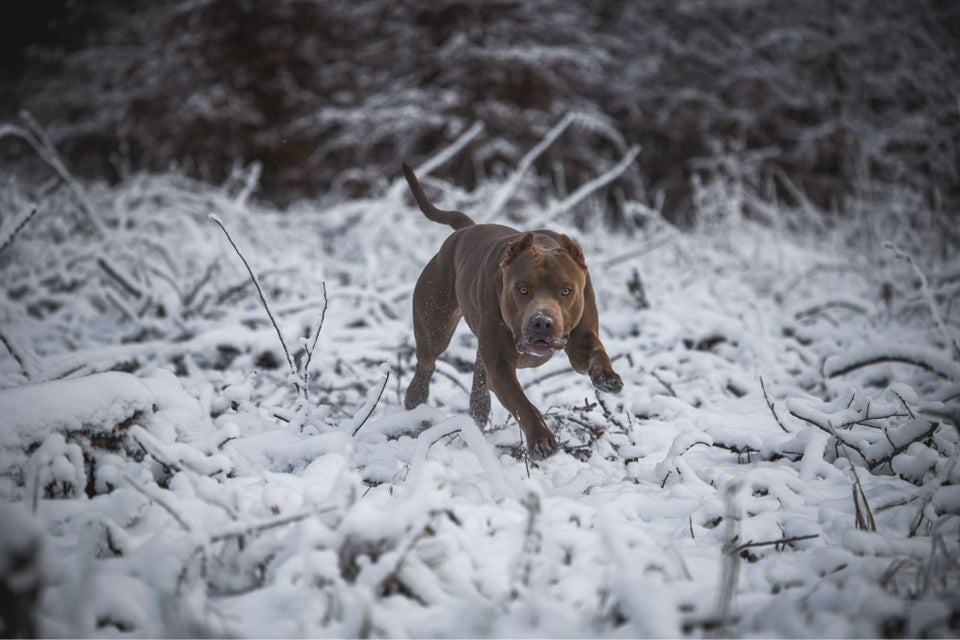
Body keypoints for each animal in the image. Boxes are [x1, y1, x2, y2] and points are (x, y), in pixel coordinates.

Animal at [400, 162, 620, 458]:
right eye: (522, 289)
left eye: (566, 290)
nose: (542, 322)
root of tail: (464, 230)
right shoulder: (501, 366)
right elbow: (522, 403)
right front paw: (540, 439)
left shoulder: (580, 340)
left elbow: (596, 352)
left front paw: (607, 377)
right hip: (435, 325)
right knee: (426, 363)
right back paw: (416, 408)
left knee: (479, 382)